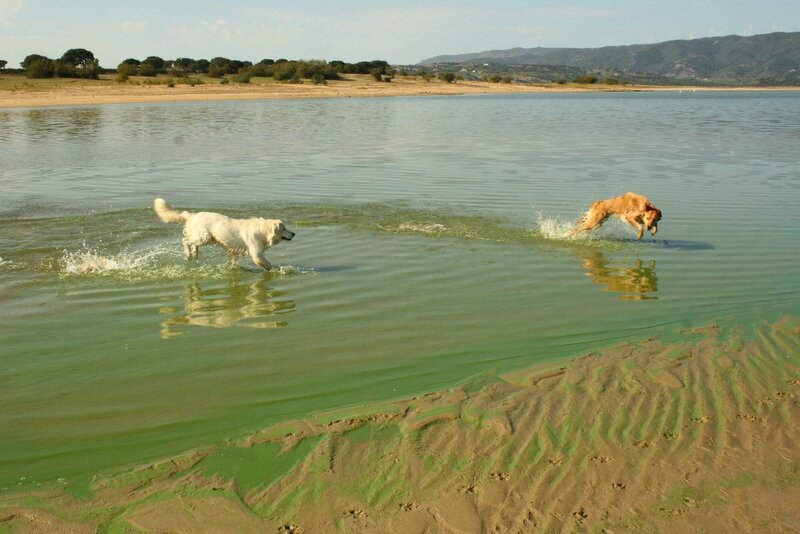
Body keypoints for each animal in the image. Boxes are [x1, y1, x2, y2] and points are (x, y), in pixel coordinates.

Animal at [155, 199, 296, 270]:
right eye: (284, 228)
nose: (294, 234)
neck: (262, 232)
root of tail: (192, 216)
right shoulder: (257, 255)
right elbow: (268, 265)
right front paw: (280, 271)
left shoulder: (234, 251)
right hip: (205, 236)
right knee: (185, 240)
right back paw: (188, 255)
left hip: (207, 238)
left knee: (192, 242)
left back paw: (195, 254)